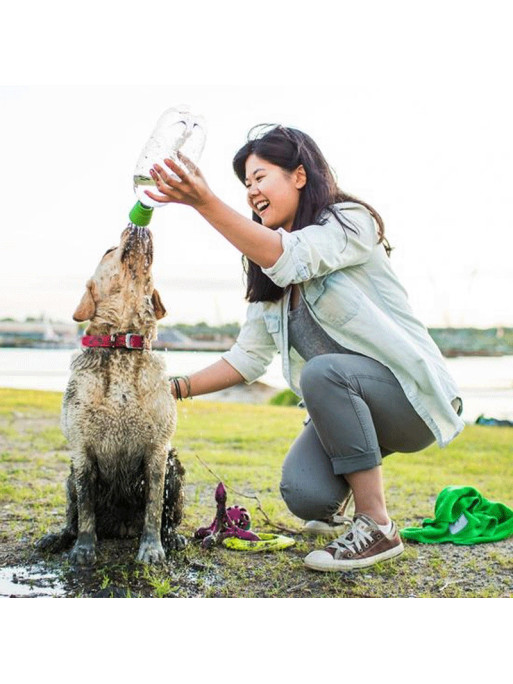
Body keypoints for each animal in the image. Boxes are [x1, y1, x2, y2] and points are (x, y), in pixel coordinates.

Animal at [38, 224, 186, 560]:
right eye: (108, 251)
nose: (134, 226)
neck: (122, 343)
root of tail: (121, 528)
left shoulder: (158, 451)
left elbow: (154, 508)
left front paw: (152, 548)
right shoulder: (81, 451)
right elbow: (85, 509)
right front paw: (83, 549)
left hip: (175, 468)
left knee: (168, 517)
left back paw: (172, 538)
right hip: (68, 478)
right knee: (72, 514)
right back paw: (59, 537)